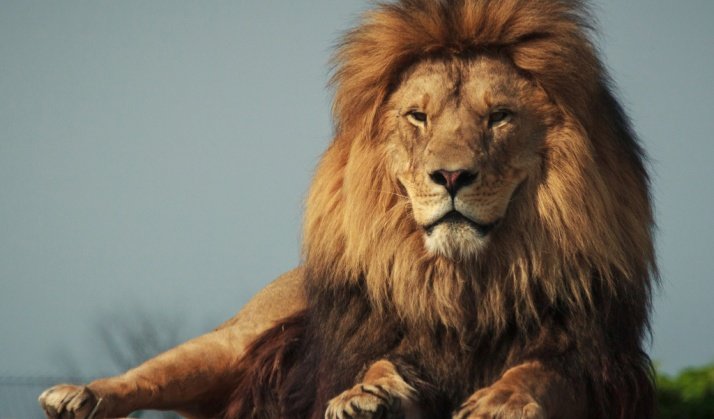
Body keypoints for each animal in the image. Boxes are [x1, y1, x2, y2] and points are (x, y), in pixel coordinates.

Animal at [40, 1, 656, 418]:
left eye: (499, 117)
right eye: (418, 117)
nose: (451, 176)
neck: (464, 285)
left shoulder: (596, 363)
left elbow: (540, 373)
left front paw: (500, 401)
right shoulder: (382, 344)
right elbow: (381, 362)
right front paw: (367, 394)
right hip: (229, 341)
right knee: (149, 372)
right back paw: (76, 395)